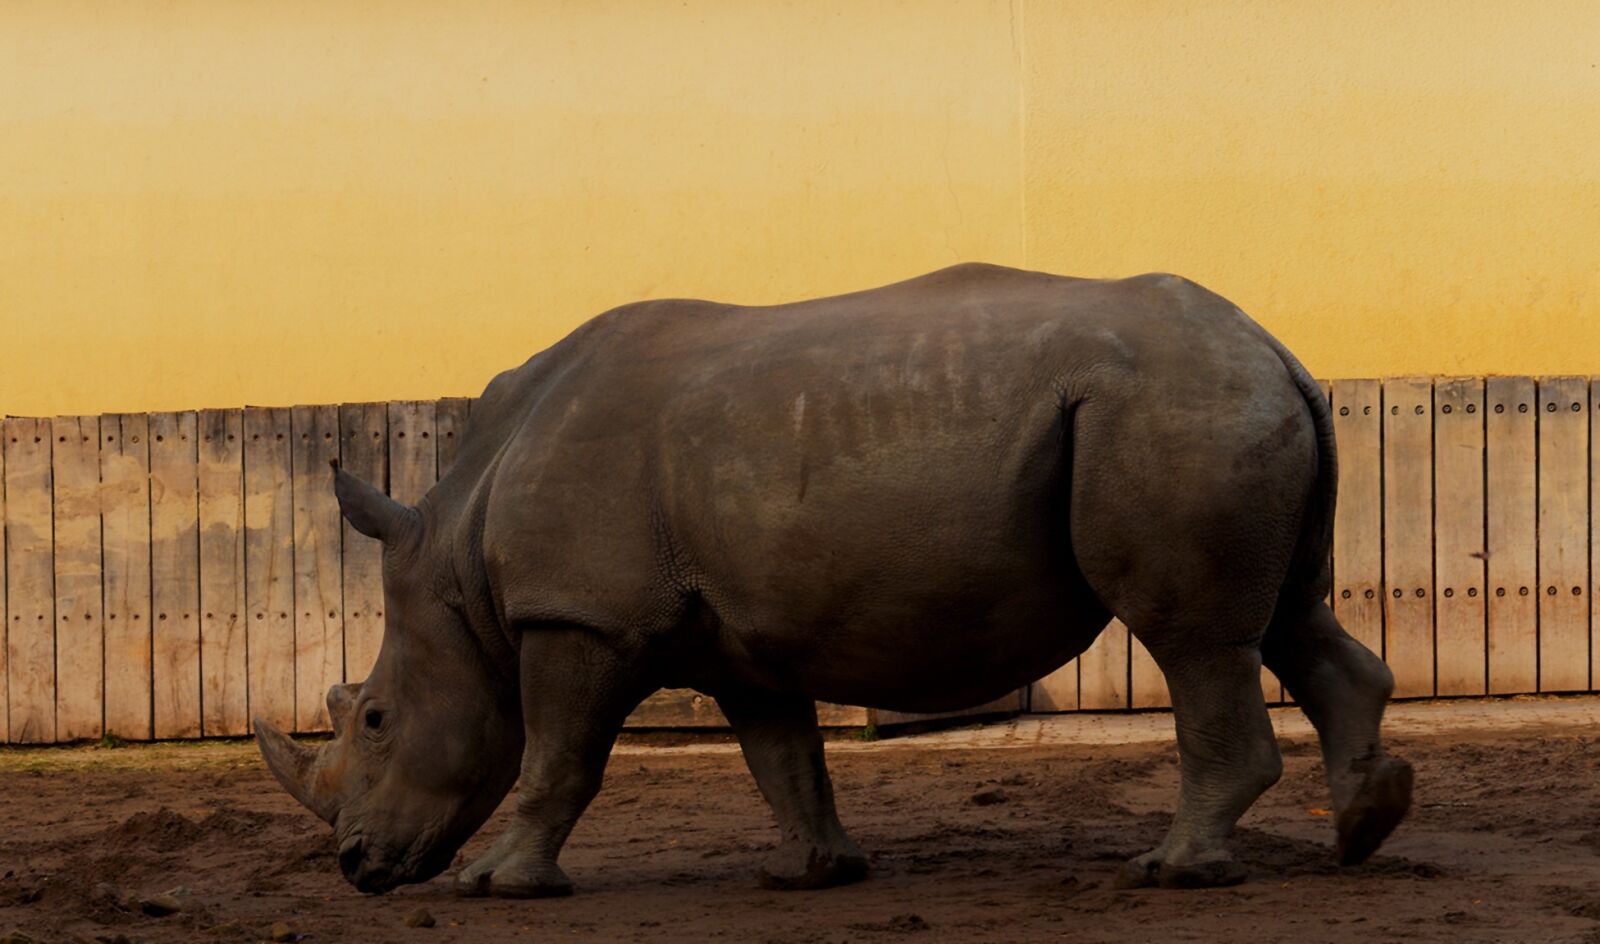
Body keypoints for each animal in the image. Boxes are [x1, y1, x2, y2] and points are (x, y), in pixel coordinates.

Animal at [255, 263, 1412, 896]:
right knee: (1286, 616)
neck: (459, 561)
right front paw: (809, 874)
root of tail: (1278, 350)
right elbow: (783, 754)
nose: (357, 867)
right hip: (1220, 404)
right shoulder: (728, 632)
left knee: (1195, 637)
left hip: (1174, 410)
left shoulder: (578, 616)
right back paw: (1363, 829)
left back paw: (1174, 869)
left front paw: (497, 886)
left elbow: (557, 755)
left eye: (374, 719)